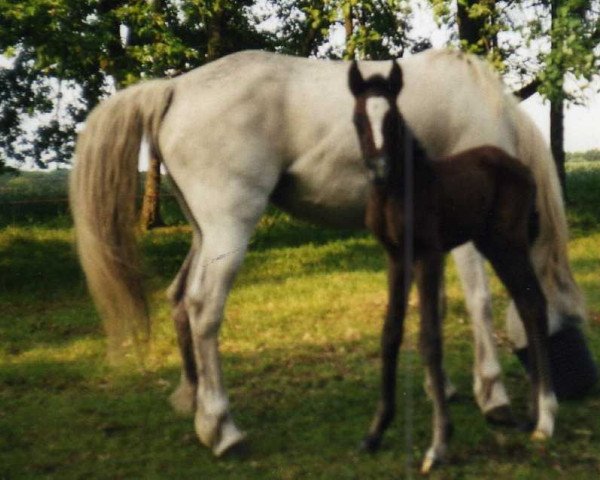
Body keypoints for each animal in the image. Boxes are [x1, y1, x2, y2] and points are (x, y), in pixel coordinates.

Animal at [350, 59, 556, 472]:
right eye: (358, 119)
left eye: (393, 119)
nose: (379, 170)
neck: (400, 190)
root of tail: (522, 168)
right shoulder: (395, 257)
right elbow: (390, 333)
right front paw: (375, 432)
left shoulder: (428, 254)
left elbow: (430, 337)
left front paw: (438, 444)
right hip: (493, 244)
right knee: (528, 305)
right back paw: (531, 415)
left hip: (508, 243)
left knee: (534, 304)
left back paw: (545, 421)